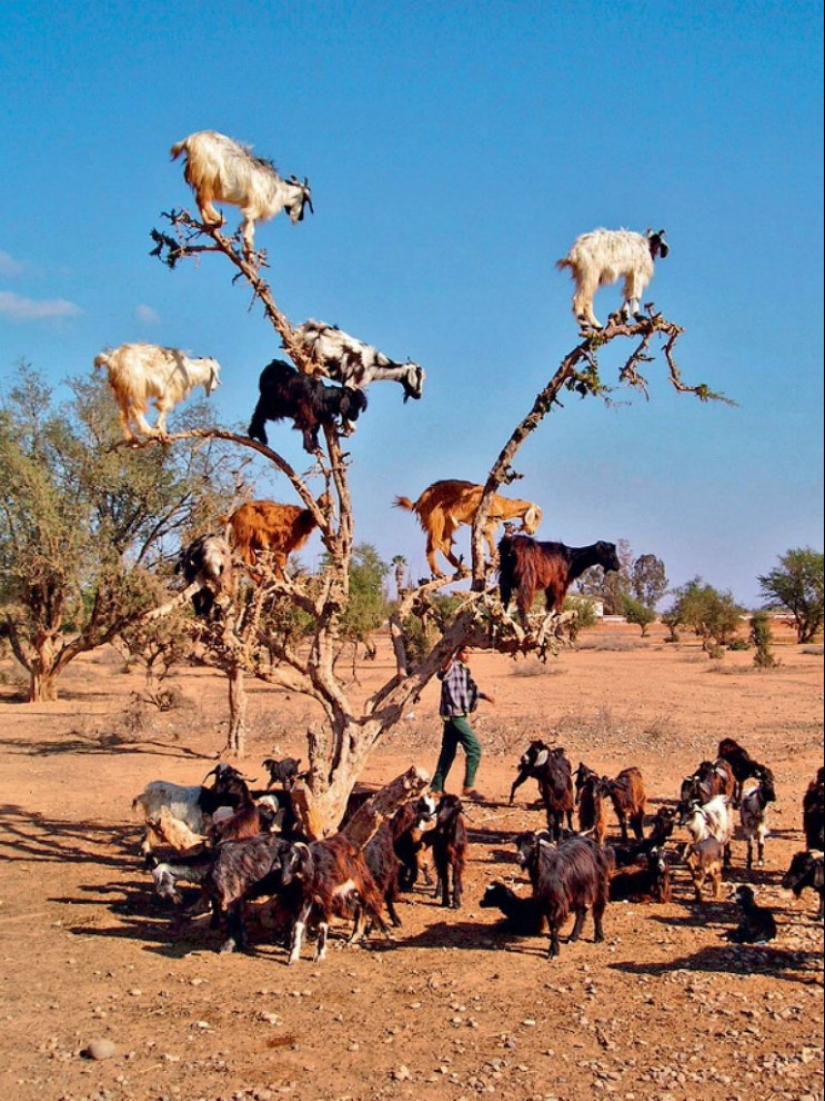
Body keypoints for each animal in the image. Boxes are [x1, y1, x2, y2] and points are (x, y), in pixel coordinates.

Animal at [167, 128, 312, 252]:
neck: (279, 190)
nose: (301, 218)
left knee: (200, 201)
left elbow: (249, 228)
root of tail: (189, 140)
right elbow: (249, 226)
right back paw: (219, 219)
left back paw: (209, 223)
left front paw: (249, 255)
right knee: (203, 200)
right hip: (209, 173)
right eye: (305, 199)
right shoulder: (255, 205)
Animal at [278, 832, 392, 964]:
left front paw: (319, 955)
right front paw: (293, 957)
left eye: (295, 858)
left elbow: (322, 925)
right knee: (361, 908)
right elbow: (298, 924)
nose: (284, 879)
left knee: (372, 904)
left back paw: (389, 935)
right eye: (281, 860)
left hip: (361, 884)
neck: (314, 867)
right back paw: (353, 938)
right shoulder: (307, 897)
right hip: (348, 892)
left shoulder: (325, 898)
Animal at [396, 482, 544, 585]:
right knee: (435, 544)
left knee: (441, 546)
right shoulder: (486, 522)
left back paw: (458, 569)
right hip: (436, 520)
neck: (501, 503)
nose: (532, 531)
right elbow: (488, 536)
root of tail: (418, 502)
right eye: (536, 516)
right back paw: (444, 572)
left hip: (445, 524)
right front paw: (495, 556)